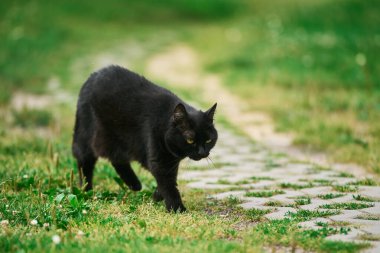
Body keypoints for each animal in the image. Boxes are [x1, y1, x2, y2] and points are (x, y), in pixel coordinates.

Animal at [72, 64, 218, 211]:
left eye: (209, 140)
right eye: (190, 140)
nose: (202, 152)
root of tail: (93, 75)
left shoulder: (170, 161)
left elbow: (169, 180)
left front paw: (157, 196)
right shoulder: (159, 160)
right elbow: (168, 184)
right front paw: (177, 208)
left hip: (118, 141)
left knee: (117, 159)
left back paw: (134, 184)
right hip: (88, 136)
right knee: (85, 163)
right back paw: (87, 191)